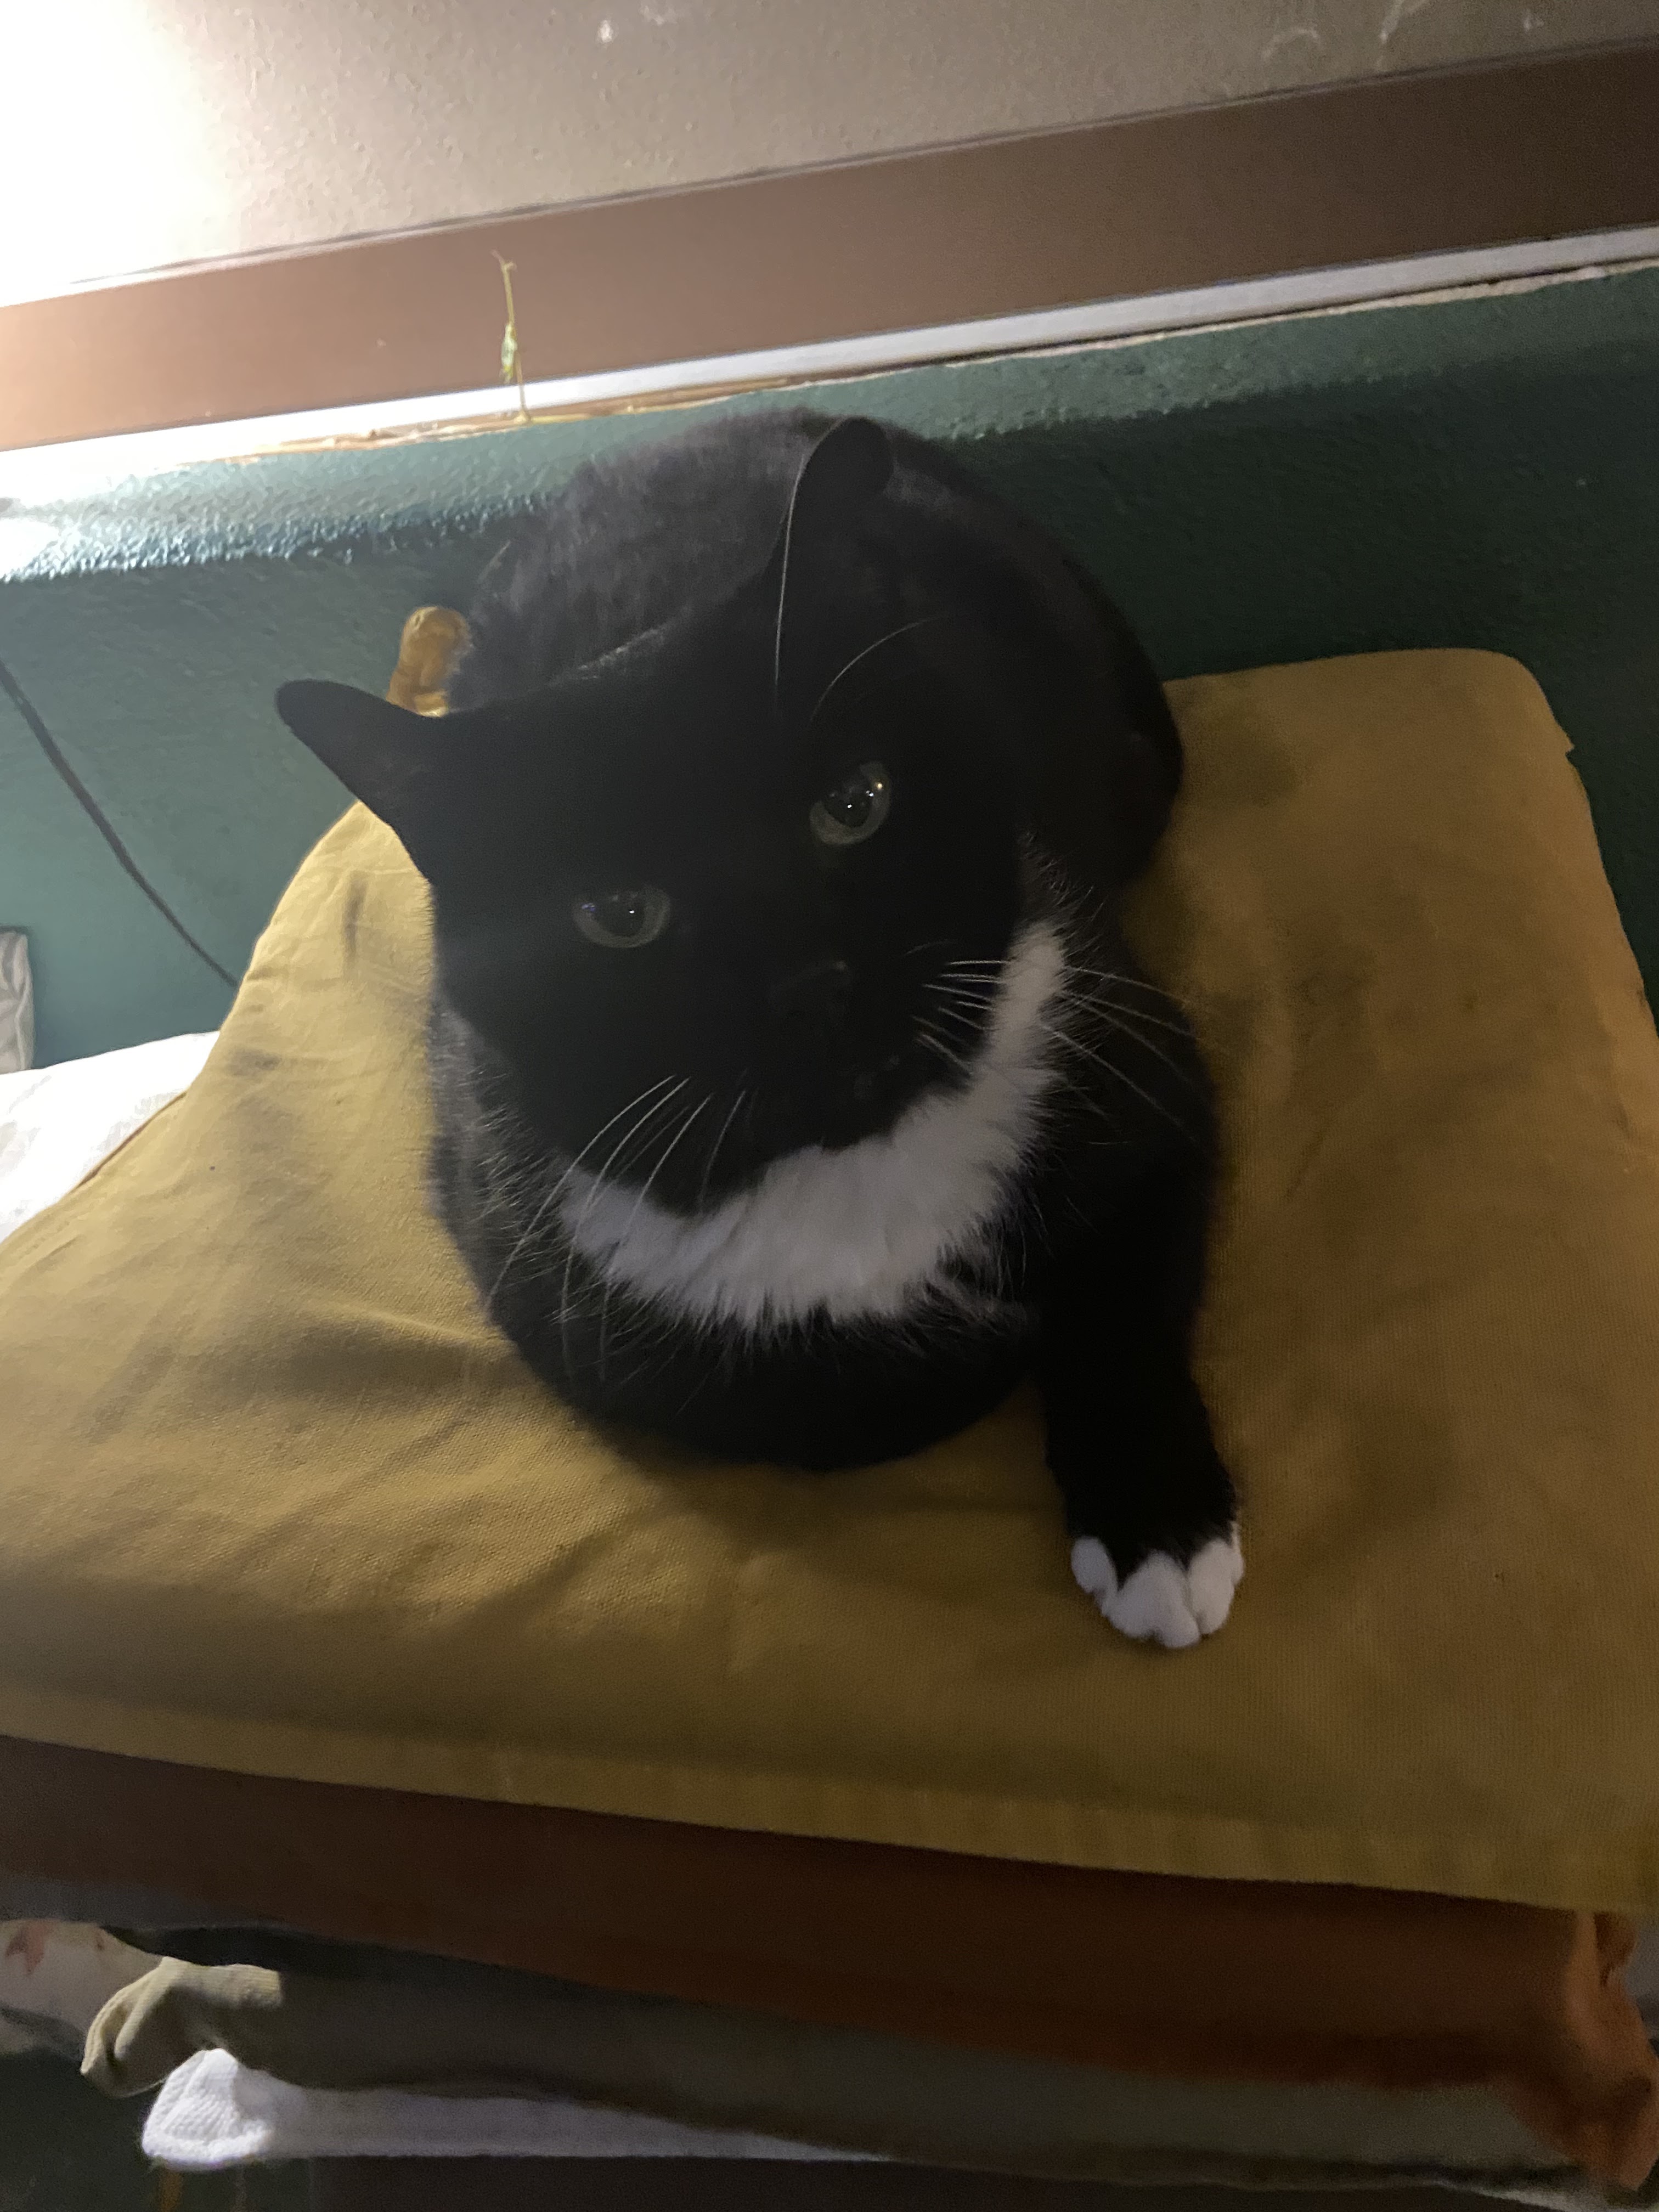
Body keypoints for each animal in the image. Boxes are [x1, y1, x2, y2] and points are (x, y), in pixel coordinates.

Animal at [276, 410, 1241, 1648]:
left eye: (856, 803)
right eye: (618, 914)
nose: (809, 981)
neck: (853, 1142)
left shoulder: (1131, 1051)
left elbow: (1119, 1295)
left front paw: (1159, 1536)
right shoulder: (535, 1269)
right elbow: (816, 1403)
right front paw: (980, 1342)